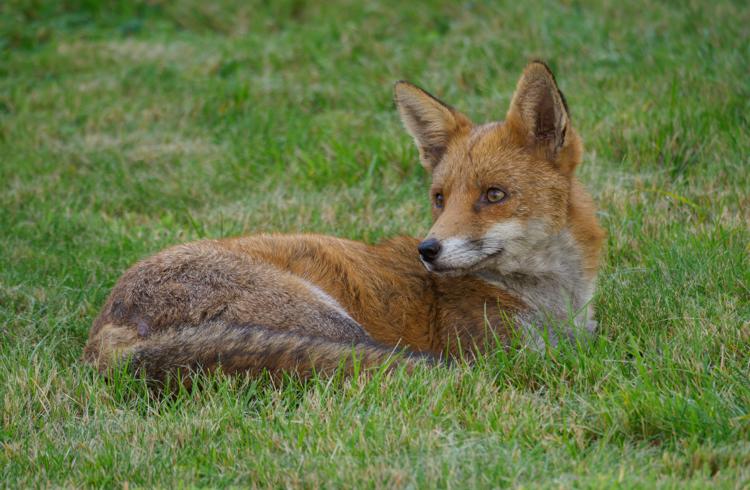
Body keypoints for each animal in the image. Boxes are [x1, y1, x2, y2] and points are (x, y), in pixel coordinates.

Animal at [83, 61, 605, 385]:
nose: (428, 250)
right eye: (439, 199)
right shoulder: (510, 351)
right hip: (334, 324)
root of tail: (106, 330)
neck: (554, 305)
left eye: (494, 196)